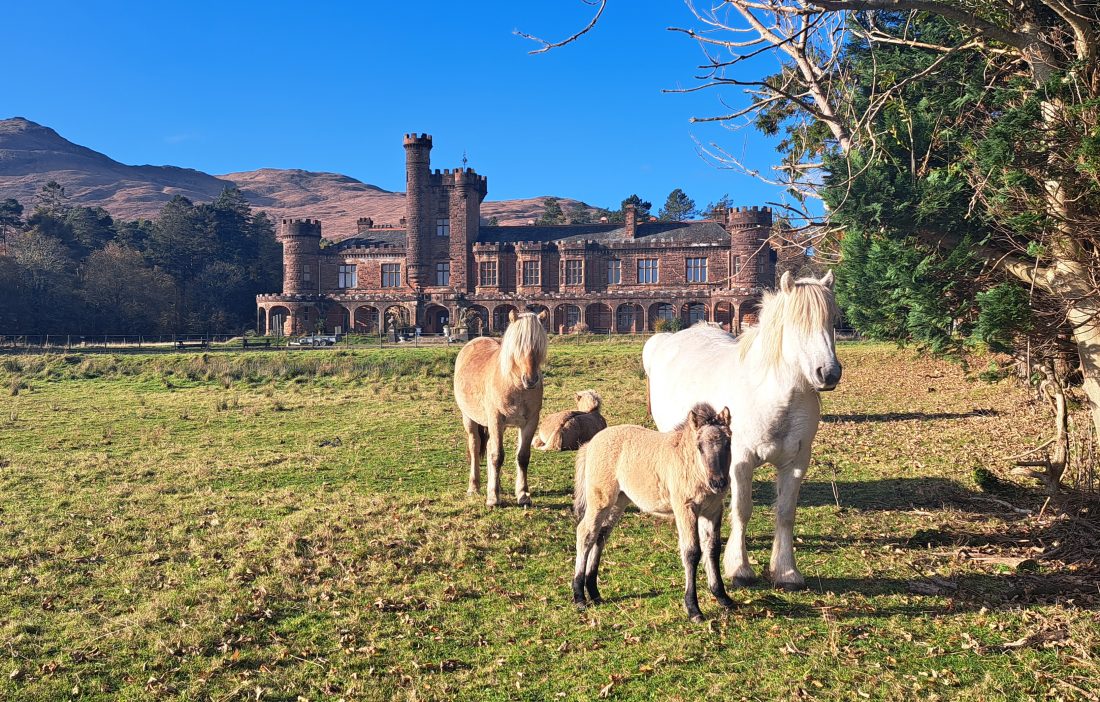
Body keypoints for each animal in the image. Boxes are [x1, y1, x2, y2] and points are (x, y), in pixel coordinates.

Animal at [453, 310, 547, 508]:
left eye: (539, 346)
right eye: (518, 347)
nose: (531, 380)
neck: (514, 384)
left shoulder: (530, 422)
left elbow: (522, 457)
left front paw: (523, 494)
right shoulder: (496, 419)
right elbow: (497, 456)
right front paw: (494, 499)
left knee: (488, 447)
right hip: (470, 419)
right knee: (475, 447)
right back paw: (474, 487)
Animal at [572, 400, 734, 620]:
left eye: (728, 444)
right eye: (699, 447)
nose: (719, 483)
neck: (691, 466)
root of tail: (590, 444)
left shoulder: (713, 511)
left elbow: (713, 548)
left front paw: (722, 596)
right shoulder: (685, 508)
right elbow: (691, 552)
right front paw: (693, 608)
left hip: (619, 501)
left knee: (601, 534)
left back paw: (594, 592)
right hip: (600, 499)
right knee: (586, 533)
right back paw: (579, 596)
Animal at [642, 272, 840, 589]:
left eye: (833, 318)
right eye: (797, 322)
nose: (829, 373)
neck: (772, 395)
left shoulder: (796, 463)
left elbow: (786, 512)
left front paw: (786, 571)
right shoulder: (741, 462)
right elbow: (742, 510)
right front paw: (739, 567)